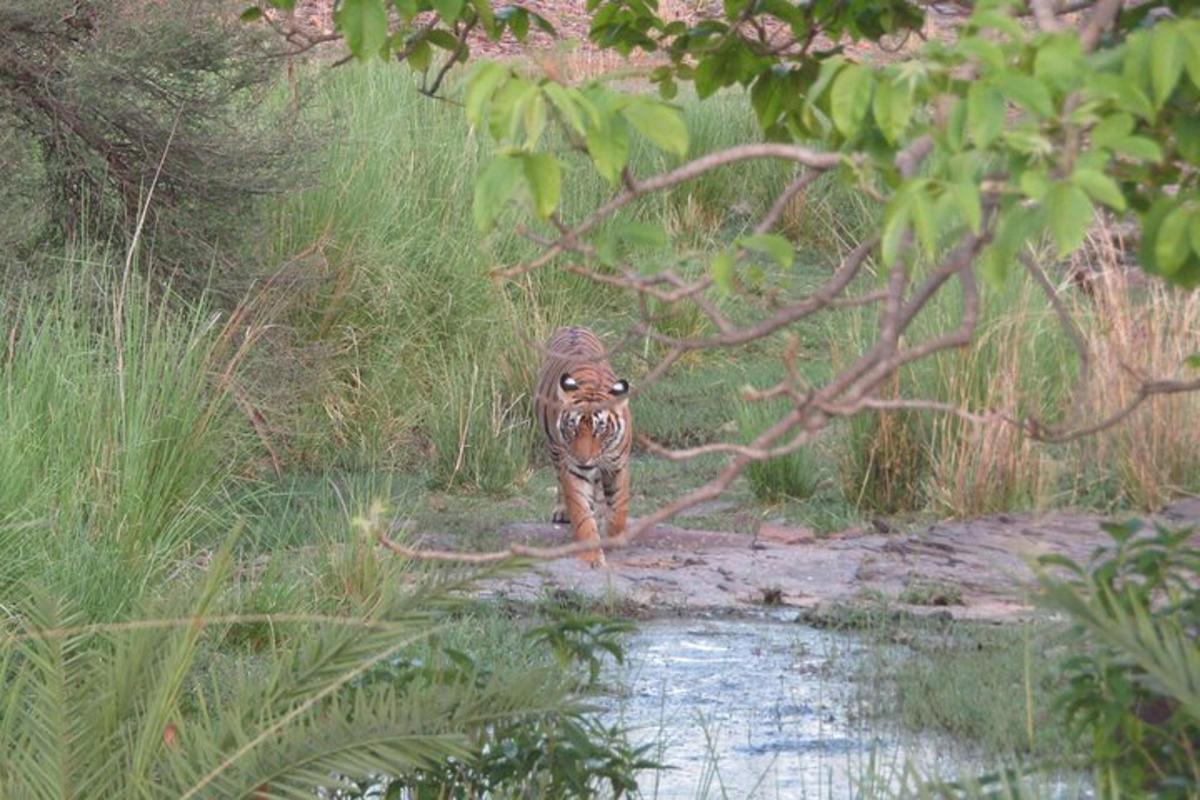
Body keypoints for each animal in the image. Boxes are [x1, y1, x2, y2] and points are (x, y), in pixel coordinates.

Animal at [532, 326, 633, 568]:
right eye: (572, 428)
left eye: (600, 430)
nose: (583, 459)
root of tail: (573, 327)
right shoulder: (573, 469)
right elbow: (581, 512)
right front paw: (591, 556)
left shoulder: (617, 465)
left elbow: (619, 506)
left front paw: (613, 537)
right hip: (554, 449)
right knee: (560, 482)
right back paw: (563, 511)